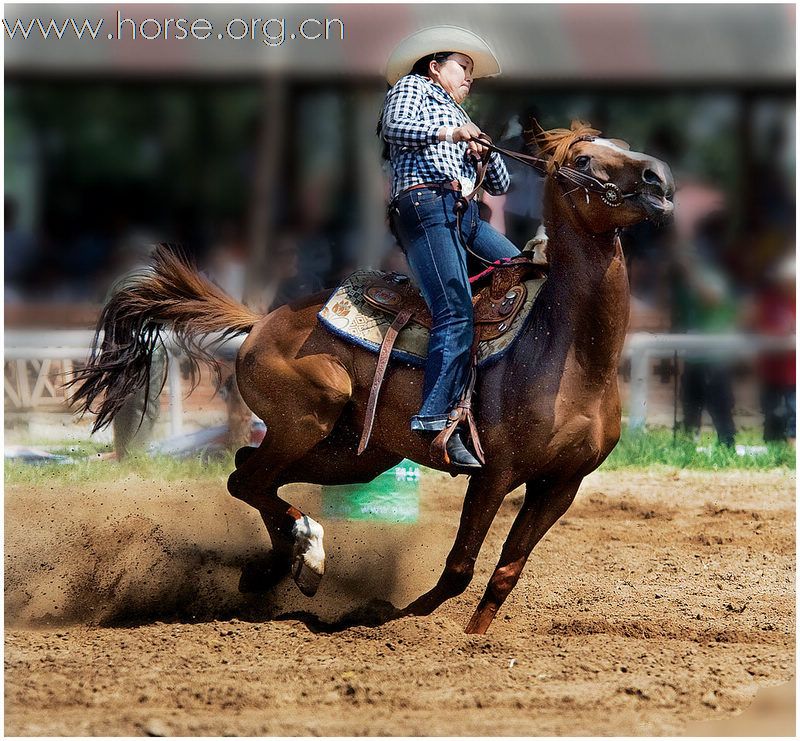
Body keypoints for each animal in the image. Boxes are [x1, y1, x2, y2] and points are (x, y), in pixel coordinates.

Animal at [72, 123, 676, 636]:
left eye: (624, 145)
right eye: (583, 159)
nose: (660, 179)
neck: (568, 355)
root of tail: (261, 321)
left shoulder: (562, 484)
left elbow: (506, 570)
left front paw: (475, 639)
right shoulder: (493, 473)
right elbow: (459, 566)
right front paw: (395, 619)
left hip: (352, 455)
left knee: (251, 473)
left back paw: (282, 567)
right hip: (310, 417)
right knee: (249, 478)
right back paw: (308, 552)